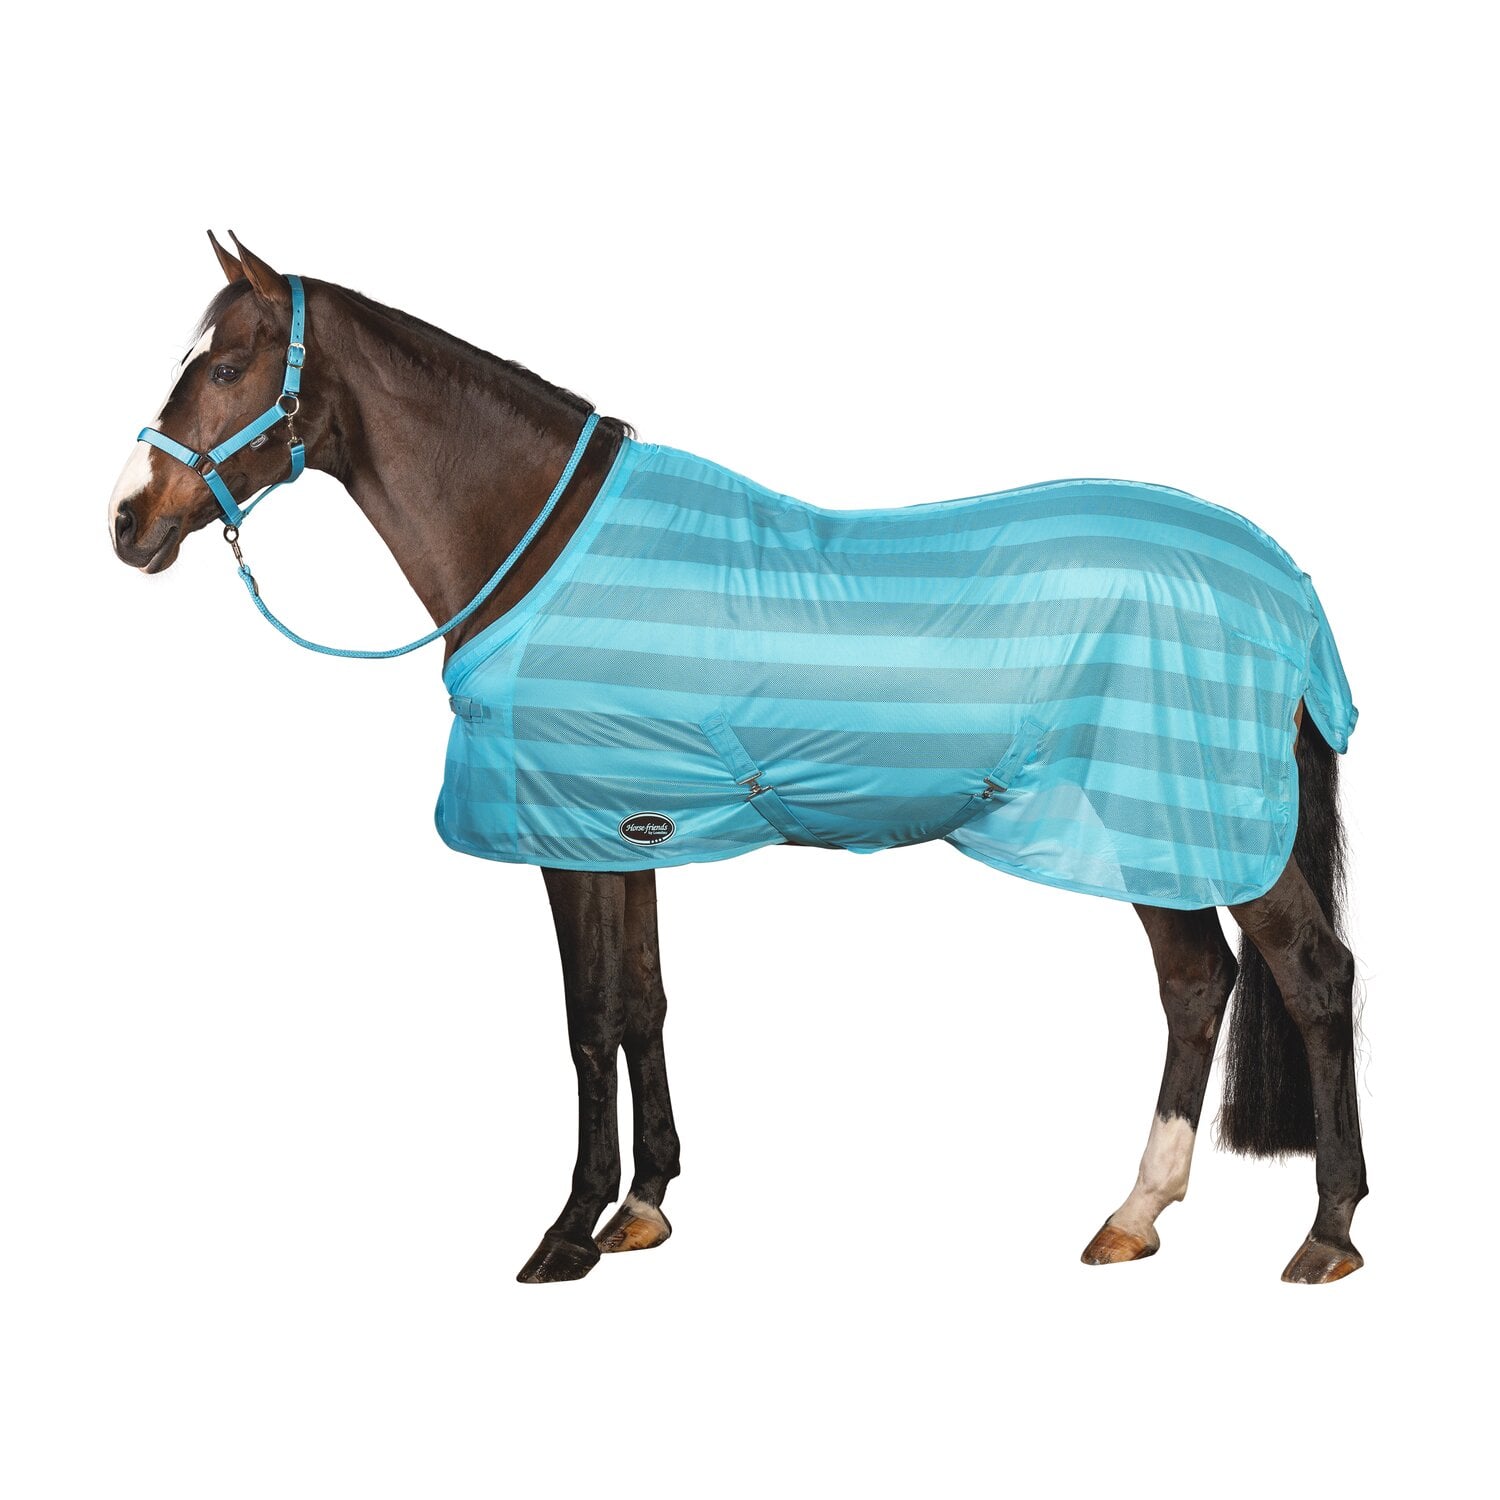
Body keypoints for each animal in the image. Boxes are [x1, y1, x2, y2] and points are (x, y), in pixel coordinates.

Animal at [108, 233, 1367, 1285]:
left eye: (228, 367)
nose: (127, 521)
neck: (546, 547)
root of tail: (1282, 581)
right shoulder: (631, 829)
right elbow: (644, 1002)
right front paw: (644, 1206)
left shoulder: (566, 835)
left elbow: (587, 1019)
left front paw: (567, 1234)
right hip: (1157, 827)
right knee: (1197, 984)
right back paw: (1135, 1216)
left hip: (1195, 820)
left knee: (1312, 976)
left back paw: (1328, 1233)